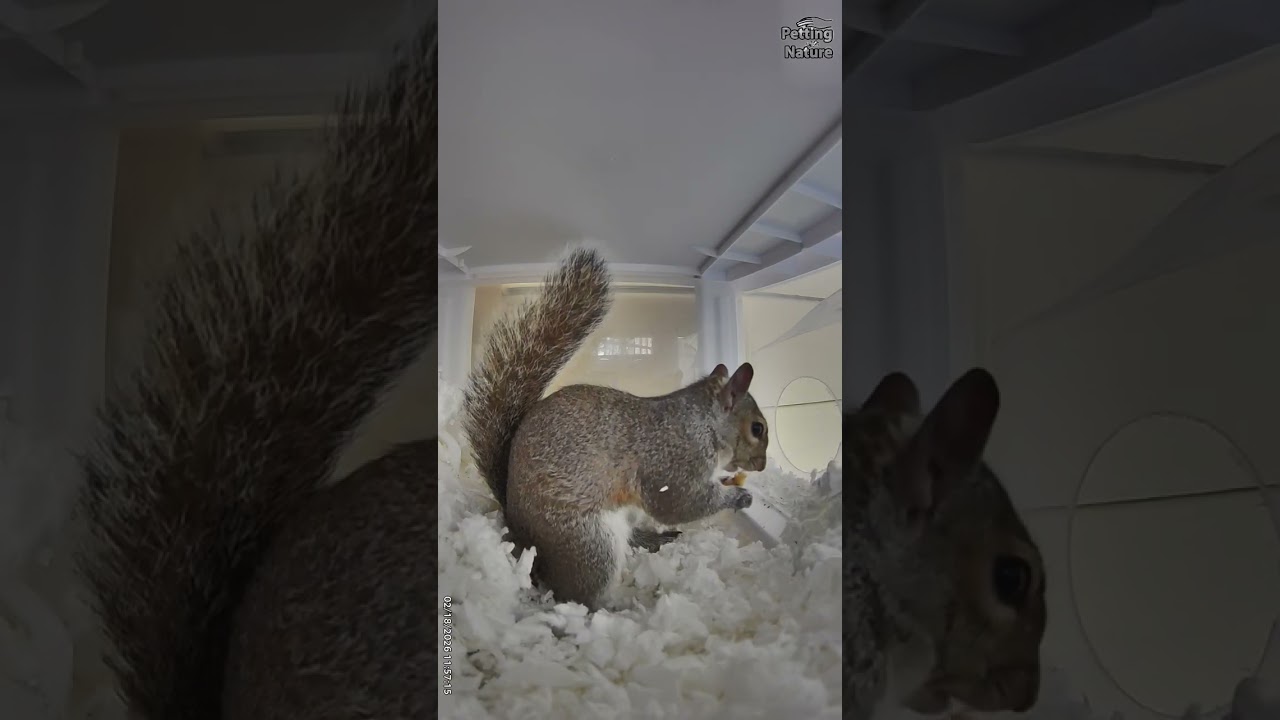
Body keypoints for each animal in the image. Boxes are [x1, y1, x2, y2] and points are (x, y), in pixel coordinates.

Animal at [462, 248, 767, 609]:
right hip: (590, 545)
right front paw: (739, 497)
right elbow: (678, 503)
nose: (762, 465)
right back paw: (613, 606)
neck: (703, 421)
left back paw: (653, 539)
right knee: (578, 597)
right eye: (758, 429)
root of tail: (517, 528)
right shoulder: (673, 460)